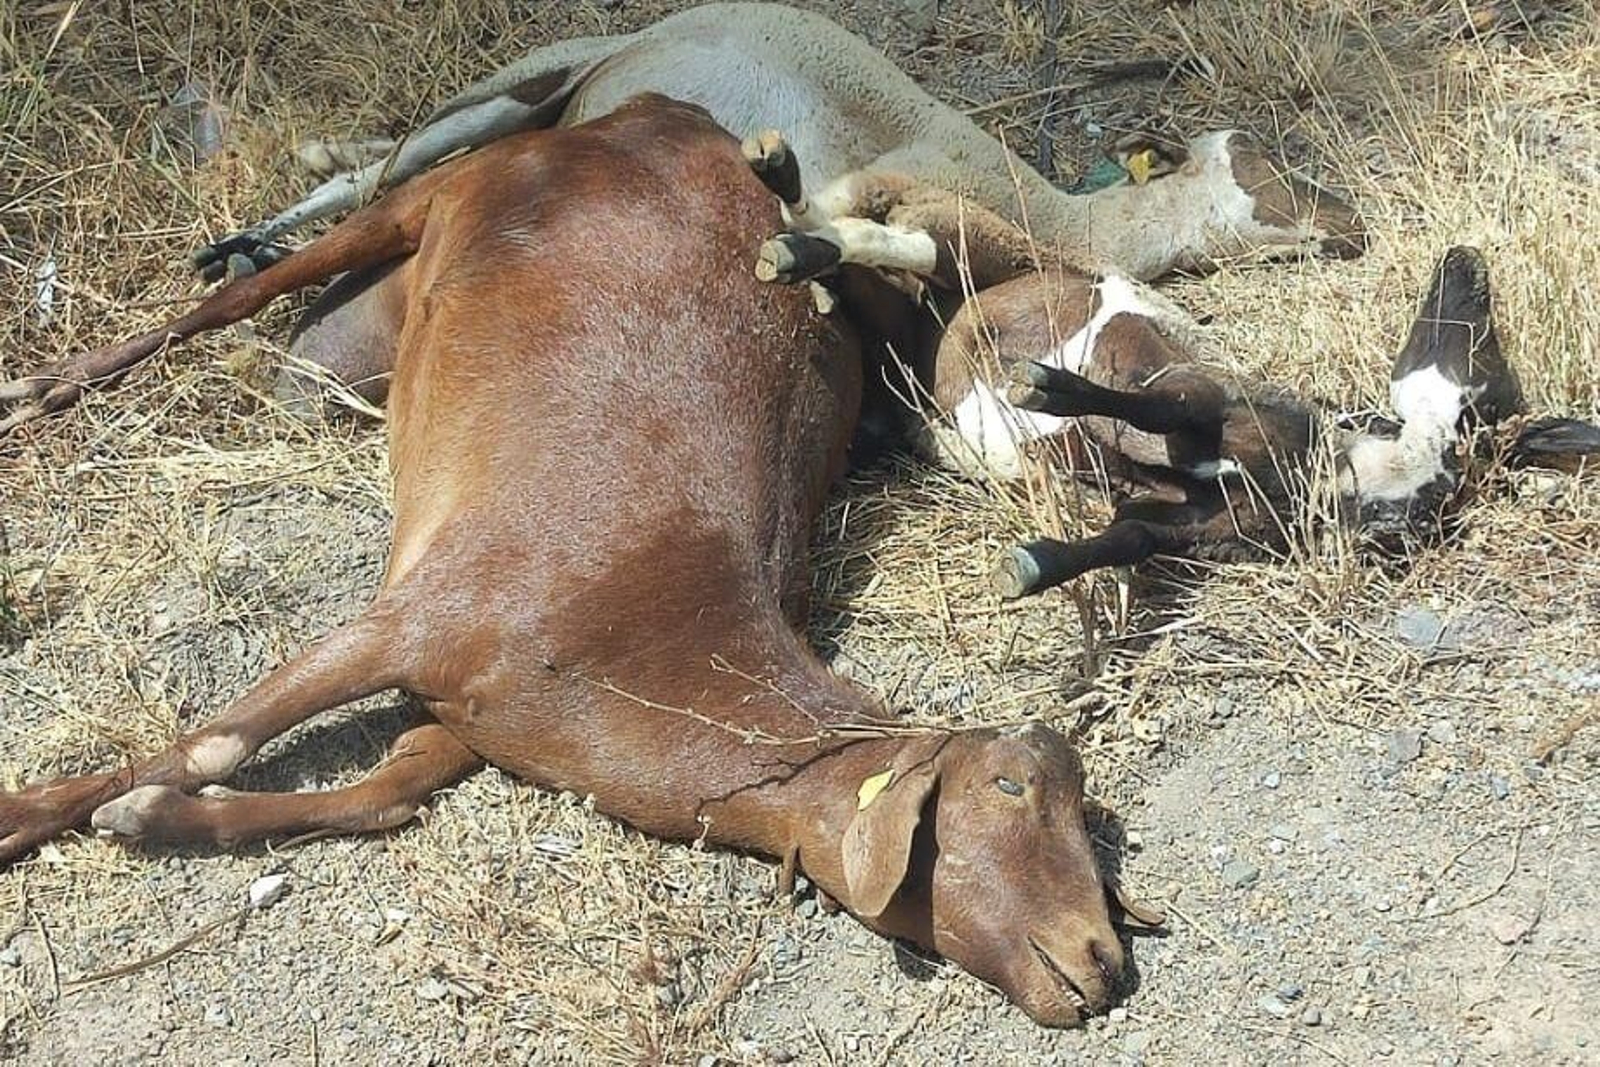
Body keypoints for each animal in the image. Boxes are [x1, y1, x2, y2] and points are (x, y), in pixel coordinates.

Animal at [0, 2, 1364, 434]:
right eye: (1274, 173)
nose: (1352, 229)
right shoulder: (856, 183)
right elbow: (858, 231)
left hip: (522, 110)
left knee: (373, 180)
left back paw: (246, 246)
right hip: (513, 83)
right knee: (376, 166)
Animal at [0, 95, 1157, 1029]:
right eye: (1009, 786)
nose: (1103, 962)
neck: (643, 631)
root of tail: (666, 115)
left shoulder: (477, 710)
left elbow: (390, 789)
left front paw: (151, 817)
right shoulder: (427, 609)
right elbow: (217, 738)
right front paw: (40, 813)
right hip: (454, 181)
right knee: (239, 292)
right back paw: (49, 384)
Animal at [742, 134, 1597, 598]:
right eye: (1487, 345)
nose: (1466, 260)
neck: (1339, 469)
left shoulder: (1193, 522)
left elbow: (1126, 538)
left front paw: (1033, 565)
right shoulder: (1203, 399)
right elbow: (1157, 406)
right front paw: (1044, 385)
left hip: (902, 348)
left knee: (853, 274)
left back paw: (793, 244)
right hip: (978, 248)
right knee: (898, 239)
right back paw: (779, 191)